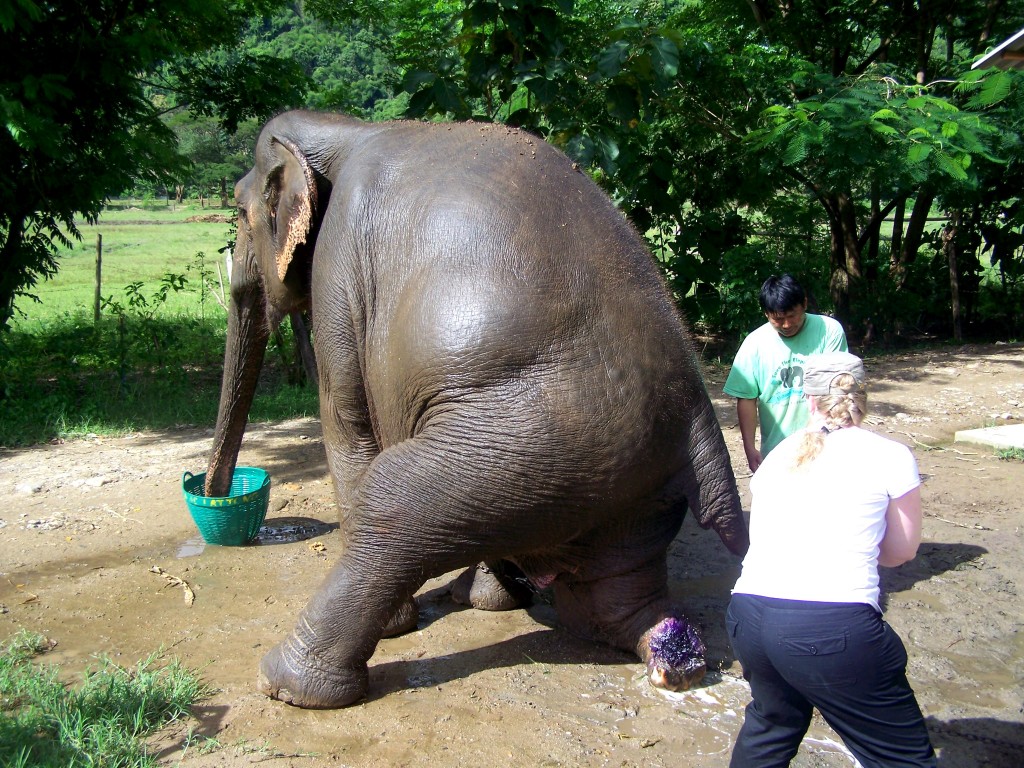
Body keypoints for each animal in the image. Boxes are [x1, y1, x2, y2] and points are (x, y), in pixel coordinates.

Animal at [205, 109, 749, 709]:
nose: (212, 495)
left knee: (394, 502)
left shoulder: (339, 268)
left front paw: (402, 626)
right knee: (616, 585)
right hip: (631, 488)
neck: (343, 129)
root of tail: (697, 427)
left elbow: (347, 424)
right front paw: (482, 601)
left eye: (239, 210)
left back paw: (285, 683)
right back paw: (664, 654)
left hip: (533, 445)